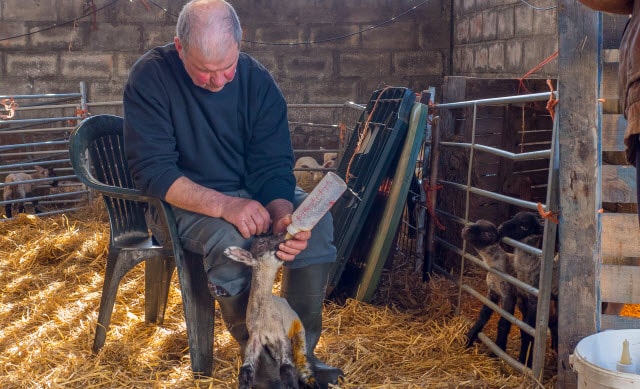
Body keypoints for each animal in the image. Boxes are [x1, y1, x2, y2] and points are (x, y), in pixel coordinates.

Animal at [224, 233, 318, 388]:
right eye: (262, 242)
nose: (282, 235)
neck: (264, 319)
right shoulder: (254, 338)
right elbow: (246, 371)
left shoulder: (282, 335)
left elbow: (287, 368)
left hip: (299, 329)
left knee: (301, 360)